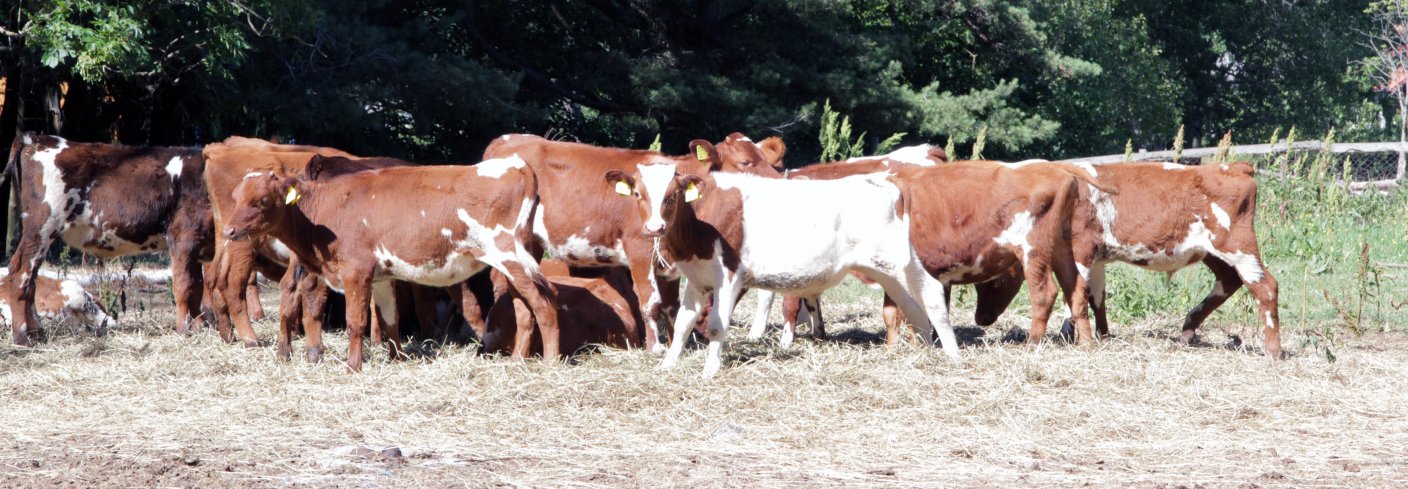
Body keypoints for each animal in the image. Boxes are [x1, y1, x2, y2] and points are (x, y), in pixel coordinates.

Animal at [2, 132, 209, 346]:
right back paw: (23, 336)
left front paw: (200, 328)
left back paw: (37, 333)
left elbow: (198, 287)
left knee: (32, 278)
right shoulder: (183, 235)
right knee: (21, 272)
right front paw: (184, 331)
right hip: (42, 225)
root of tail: (37, 138)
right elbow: (185, 286)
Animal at [222, 153, 557, 372]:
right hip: (513, 264)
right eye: (236, 196)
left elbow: (356, 321)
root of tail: (515, 164)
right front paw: (397, 359)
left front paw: (353, 366)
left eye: (263, 200)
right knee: (524, 309)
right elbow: (389, 319)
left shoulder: (356, 270)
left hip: (509, 255)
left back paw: (551, 360)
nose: (229, 230)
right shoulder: (381, 277)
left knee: (544, 305)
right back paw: (518, 360)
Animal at [608, 143, 957, 380]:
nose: (655, 227)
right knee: (911, 306)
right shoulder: (696, 277)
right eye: (638, 194)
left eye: (673, 194)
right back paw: (925, 351)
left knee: (931, 296)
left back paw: (951, 355)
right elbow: (683, 323)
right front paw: (667, 364)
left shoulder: (728, 275)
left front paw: (710, 369)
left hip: (902, 262)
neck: (699, 223)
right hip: (885, 270)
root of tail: (886, 181)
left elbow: (718, 325)